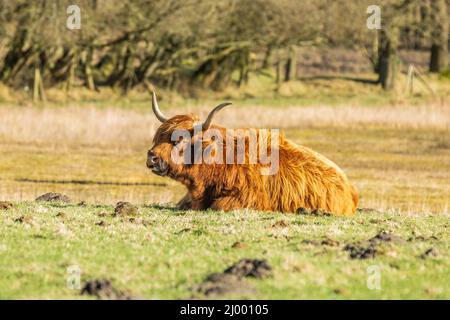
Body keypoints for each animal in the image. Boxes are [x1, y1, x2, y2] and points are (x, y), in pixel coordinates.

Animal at [148, 92, 358, 218]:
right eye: (158, 137)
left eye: (178, 140)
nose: (151, 157)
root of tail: (349, 187)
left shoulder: (248, 199)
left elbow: (218, 205)